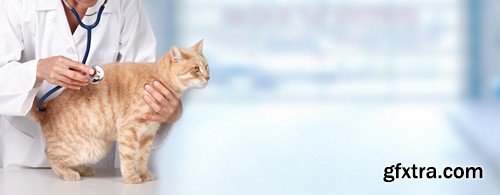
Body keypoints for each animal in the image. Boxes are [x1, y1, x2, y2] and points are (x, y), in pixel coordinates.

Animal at [29, 40, 209, 184]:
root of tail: (48, 107)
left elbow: (142, 157)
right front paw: (131, 177)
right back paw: (68, 173)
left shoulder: (148, 134)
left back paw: (83, 169)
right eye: (195, 69)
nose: (208, 77)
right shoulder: (129, 129)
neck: (158, 78)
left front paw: (143, 174)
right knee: (53, 157)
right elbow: (129, 157)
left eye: (206, 67)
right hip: (88, 147)